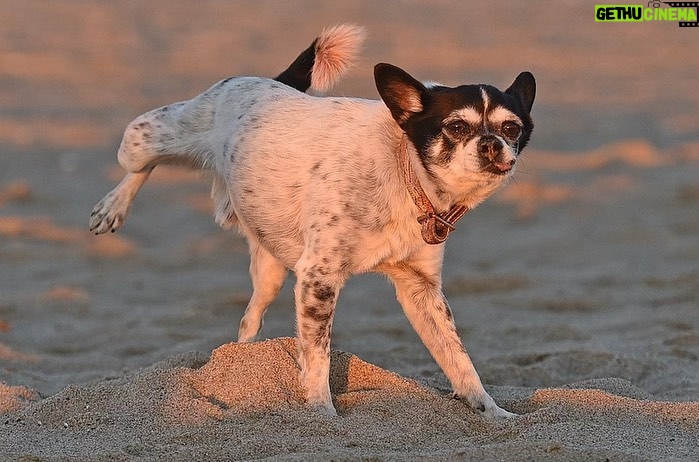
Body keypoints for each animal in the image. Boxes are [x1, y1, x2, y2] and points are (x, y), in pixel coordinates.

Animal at [87, 24, 536, 418]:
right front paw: (322, 411)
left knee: (250, 317)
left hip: (270, 266)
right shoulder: (319, 279)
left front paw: (491, 411)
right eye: (456, 126)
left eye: (511, 128)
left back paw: (238, 361)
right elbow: (318, 356)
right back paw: (113, 207)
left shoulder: (420, 289)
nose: (492, 144)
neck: (403, 169)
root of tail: (267, 80)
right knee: (139, 163)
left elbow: (458, 359)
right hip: (148, 137)